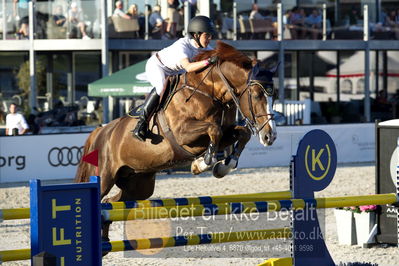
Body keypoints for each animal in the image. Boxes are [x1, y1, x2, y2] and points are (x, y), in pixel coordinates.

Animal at [75, 40, 276, 242]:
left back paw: (104, 239)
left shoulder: (225, 133)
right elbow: (214, 130)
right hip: (104, 177)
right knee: (101, 196)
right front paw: (202, 163)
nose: (270, 136)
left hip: (138, 184)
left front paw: (224, 166)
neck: (210, 92)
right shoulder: (182, 132)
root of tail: (102, 131)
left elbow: (242, 134)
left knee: (109, 202)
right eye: (257, 95)